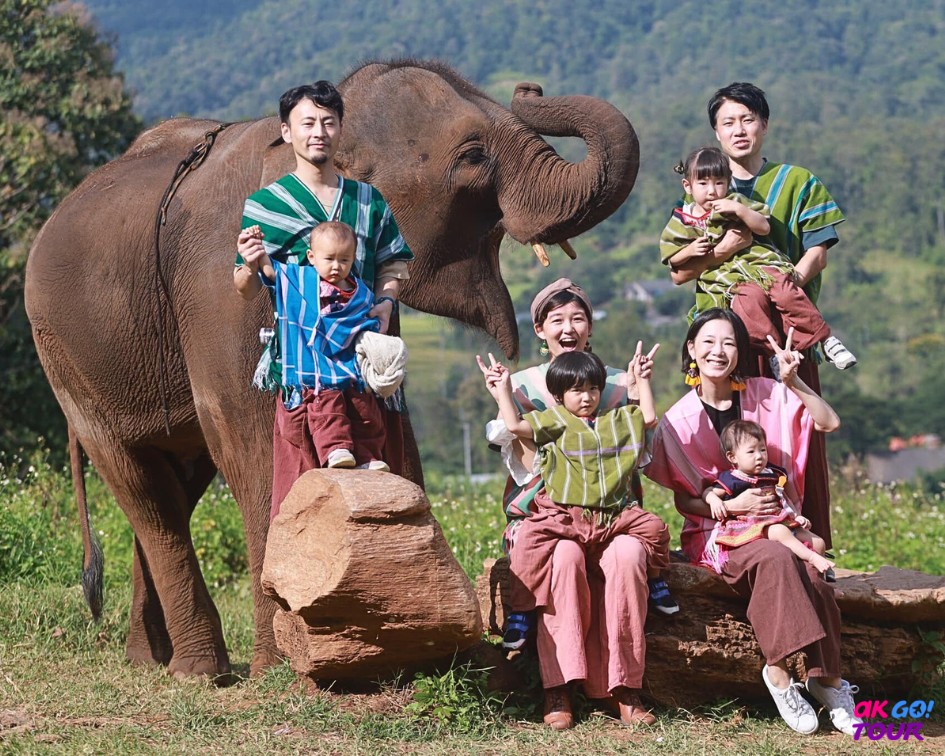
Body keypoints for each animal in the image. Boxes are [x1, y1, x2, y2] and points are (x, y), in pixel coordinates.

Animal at [24, 60, 639, 680]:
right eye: (473, 157)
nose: (528, 87)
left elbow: (390, 414)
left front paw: (435, 654)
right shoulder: (220, 298)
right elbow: (250, 437)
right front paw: (285, 667)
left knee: (175, 479)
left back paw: (150, 660)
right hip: (63, 360)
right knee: (145, 488)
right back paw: (199, 670)